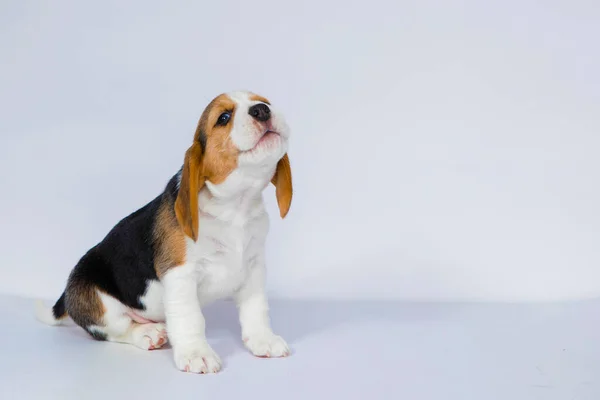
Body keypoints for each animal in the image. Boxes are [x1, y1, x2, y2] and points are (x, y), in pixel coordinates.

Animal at [35, 91, 292, 376]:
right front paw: (196, 354)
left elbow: (255, 309)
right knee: (115, 329)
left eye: (265, 101)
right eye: (224, 117)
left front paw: (263, 339)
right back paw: (148, 333)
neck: (236, 206)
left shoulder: (254, 267)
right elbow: (191, 318)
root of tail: (67, 294)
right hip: (99, 301)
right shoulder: (180, 273)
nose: (262, 110)